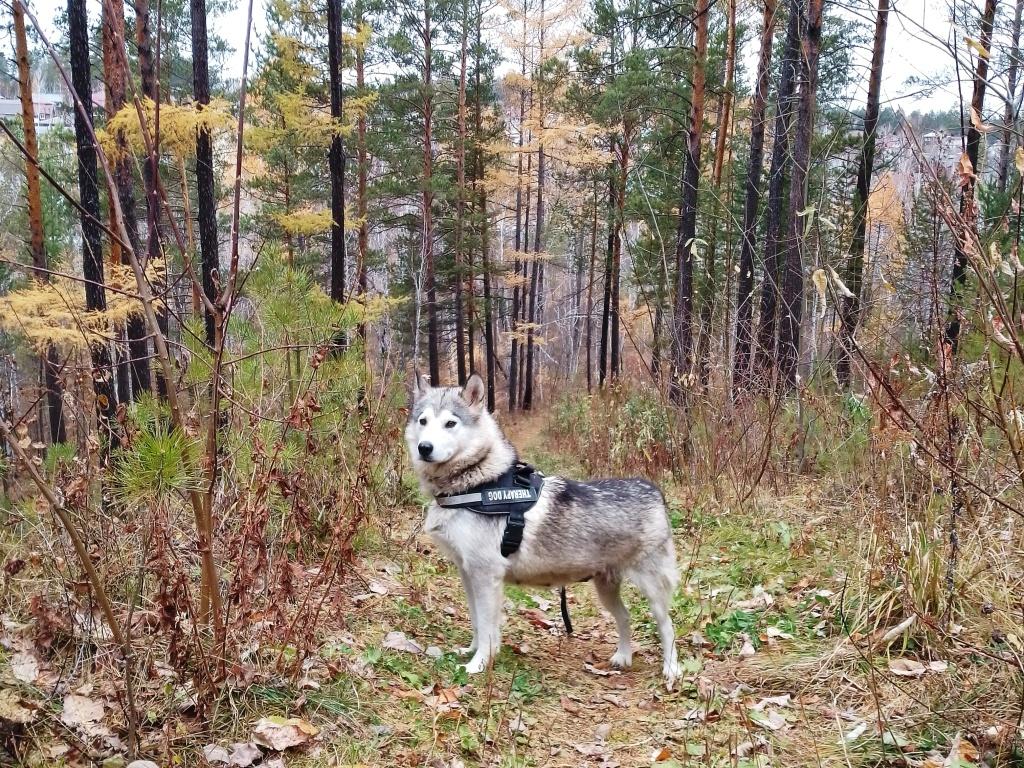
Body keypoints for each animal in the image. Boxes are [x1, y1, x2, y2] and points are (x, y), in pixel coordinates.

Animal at [403, 370, 684, 688]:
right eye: (423, 421)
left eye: (450, 423)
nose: (424, 448)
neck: (477, 483)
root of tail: (652, 489)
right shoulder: (468, 573)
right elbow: (477, 622)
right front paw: (472, 651)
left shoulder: (486, 576)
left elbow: (487, 628)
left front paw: (478, 664)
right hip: (606, 588)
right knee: (625, 618)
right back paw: (623, 657)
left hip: (652, 589)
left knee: (667, 626)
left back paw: (671, 669)